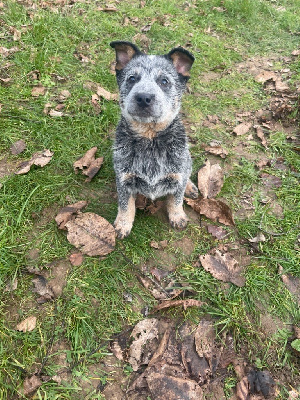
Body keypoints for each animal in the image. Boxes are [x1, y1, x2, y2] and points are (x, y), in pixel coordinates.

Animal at [111, 41, 198, 239]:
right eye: (132, 78)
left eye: (164, 81)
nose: (144, 97)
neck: (149, 140)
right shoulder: (123, 178)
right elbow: (125, 205)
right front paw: (122, 225)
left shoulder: (177, 174)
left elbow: (176, 199)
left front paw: (178, 216)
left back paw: (190, 187)